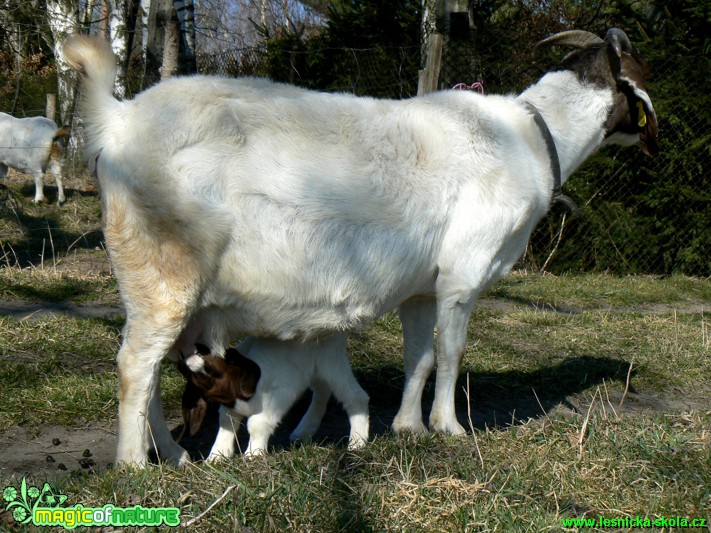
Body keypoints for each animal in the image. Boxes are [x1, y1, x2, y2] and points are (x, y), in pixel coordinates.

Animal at [64, 28, 660, 466]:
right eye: (638, 81)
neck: (529, 139)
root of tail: (117, 121)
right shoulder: (463, 273)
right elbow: (450, 353)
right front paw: (449, 428)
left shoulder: (423, 288)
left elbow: (420, 357)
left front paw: (408, 427)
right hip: (161, 270)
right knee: (135, 366)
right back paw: (135, 466)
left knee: (161, 371)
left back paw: (174, 456)